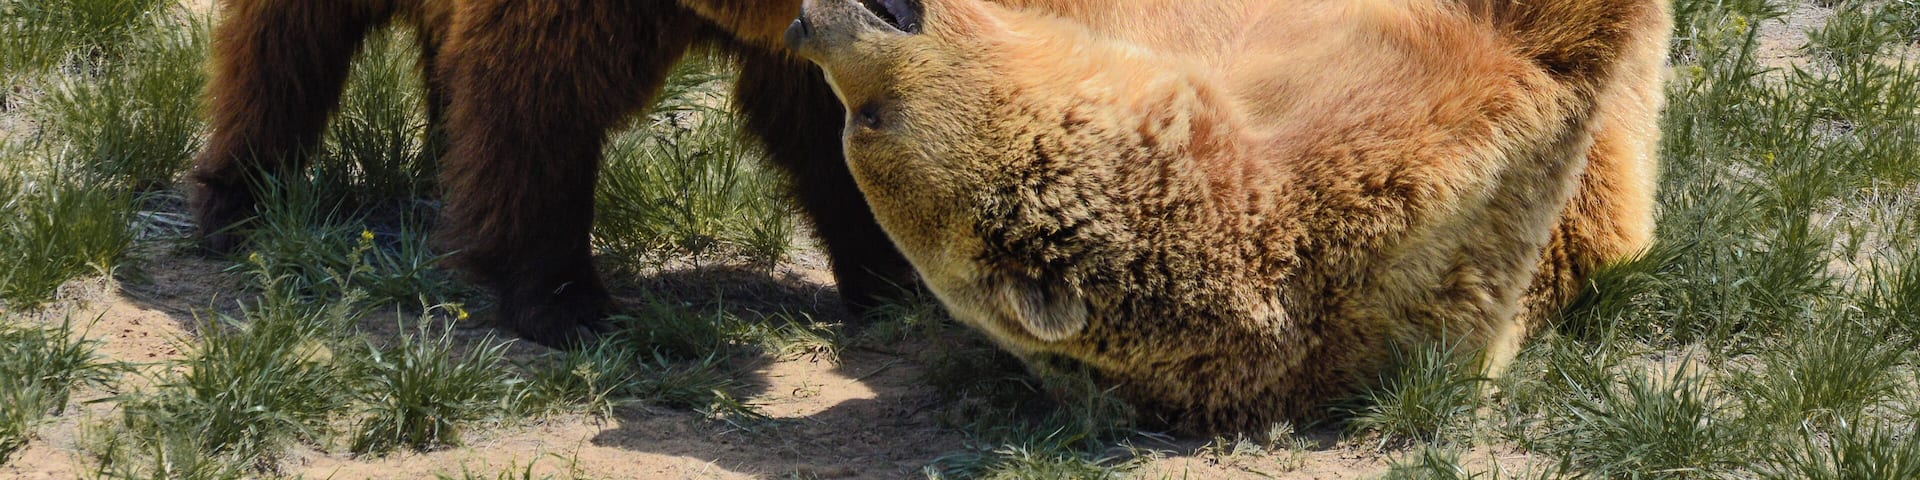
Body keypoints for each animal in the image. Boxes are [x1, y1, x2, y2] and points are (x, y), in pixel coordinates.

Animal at [189, 0, 918, 346]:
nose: (905, 15)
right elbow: (539, 104)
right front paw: (569, 304)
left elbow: (825, 127)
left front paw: (891, 275)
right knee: (283, 47)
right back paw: (239, 204)